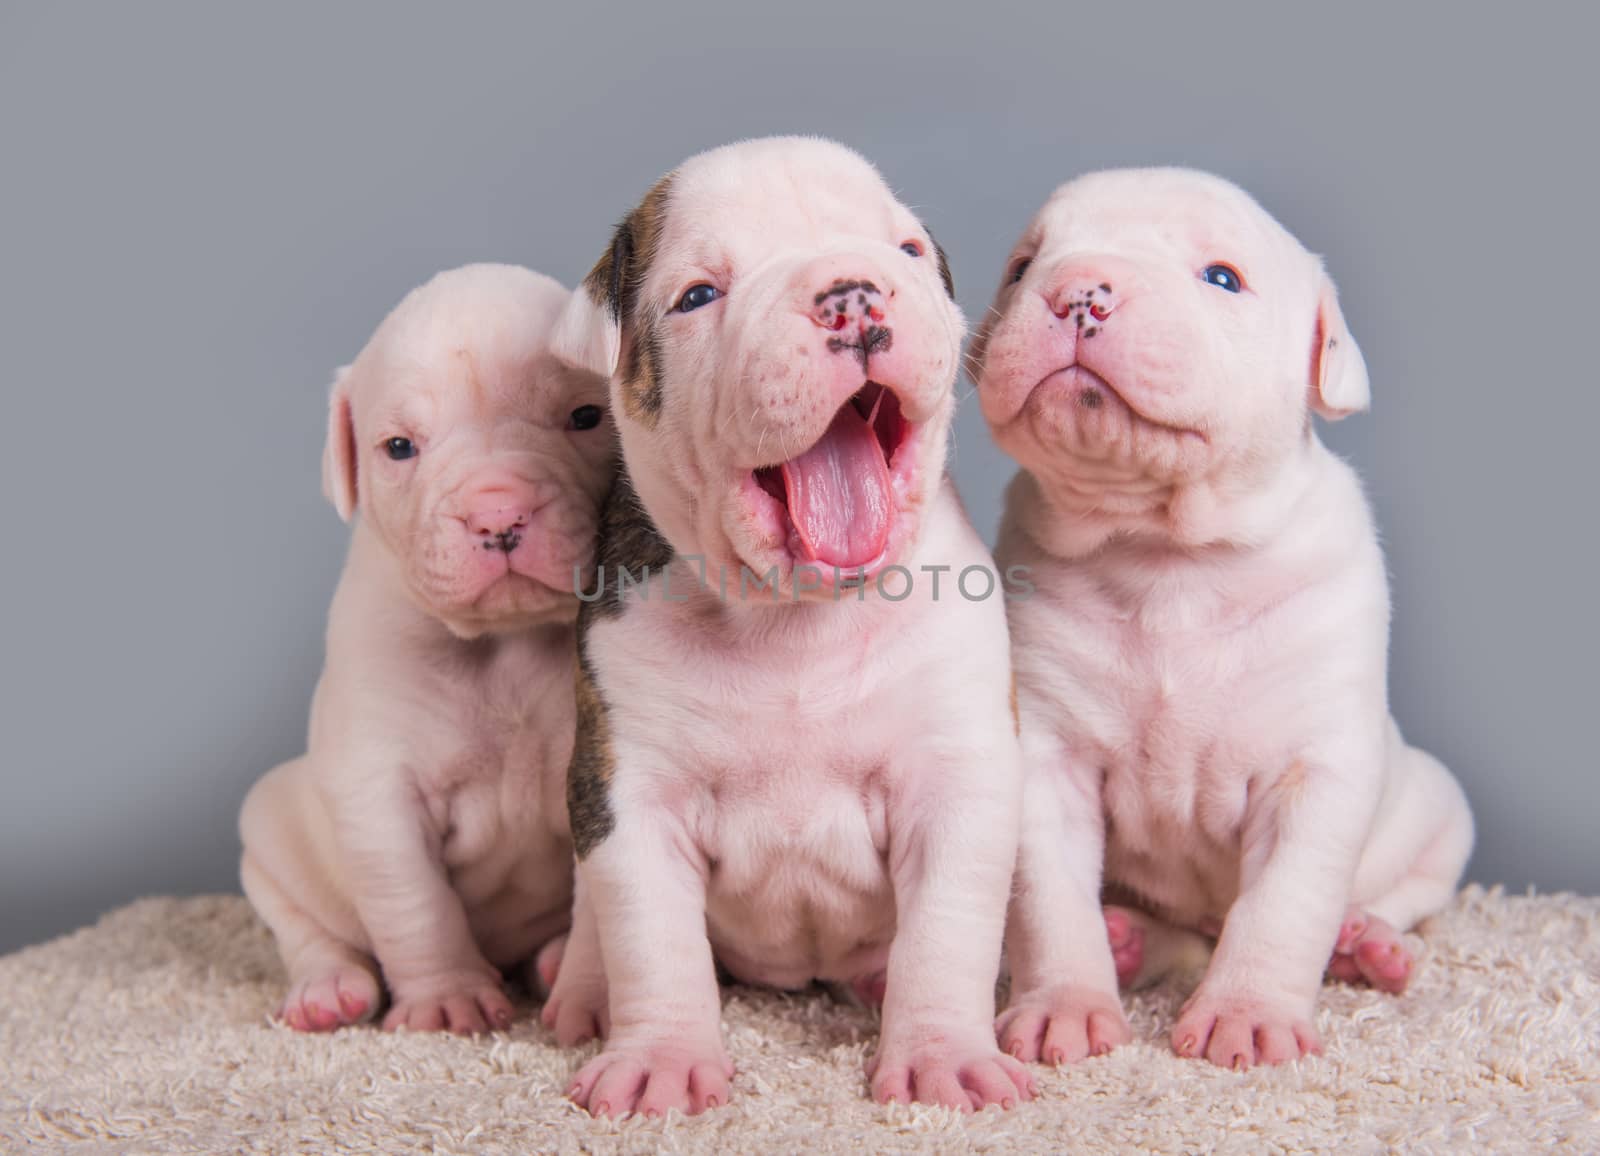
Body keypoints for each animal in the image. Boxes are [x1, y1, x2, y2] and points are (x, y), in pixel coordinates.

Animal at [236, 265, 611, 1031]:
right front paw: (446, 1000)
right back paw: (326, 990)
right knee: (305, 927)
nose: (498, 514)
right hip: (270, 829)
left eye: (586, 417)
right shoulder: (378, 791)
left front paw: (590, 996)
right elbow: (416, 904)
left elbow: (602, 904)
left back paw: (552, 959)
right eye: (400, 448)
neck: (505, 641)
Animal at [544, 137, 1030, 1114]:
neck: (794, 623)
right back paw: (578, 994)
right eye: (699, 296)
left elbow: (947, 932)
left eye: (905, 251)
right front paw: (660, 1059)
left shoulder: (957, 780)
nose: (851, 293)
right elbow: (649, 933)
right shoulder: (628, 788)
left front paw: (940, 1059)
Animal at [960, 166, 1472, 1069]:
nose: (1077, 288)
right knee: (1171, 935)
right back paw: (1127, 940)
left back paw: (1367, 945)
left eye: (1223, 278)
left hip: (1440, 810)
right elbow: (1049, 899)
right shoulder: (1048, 760)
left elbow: (1282, 906)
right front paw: (1064, 1006)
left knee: (1402, 892)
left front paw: (1248, 1016)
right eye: (1022, 268)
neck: (1169, 555)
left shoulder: (1315, 770)